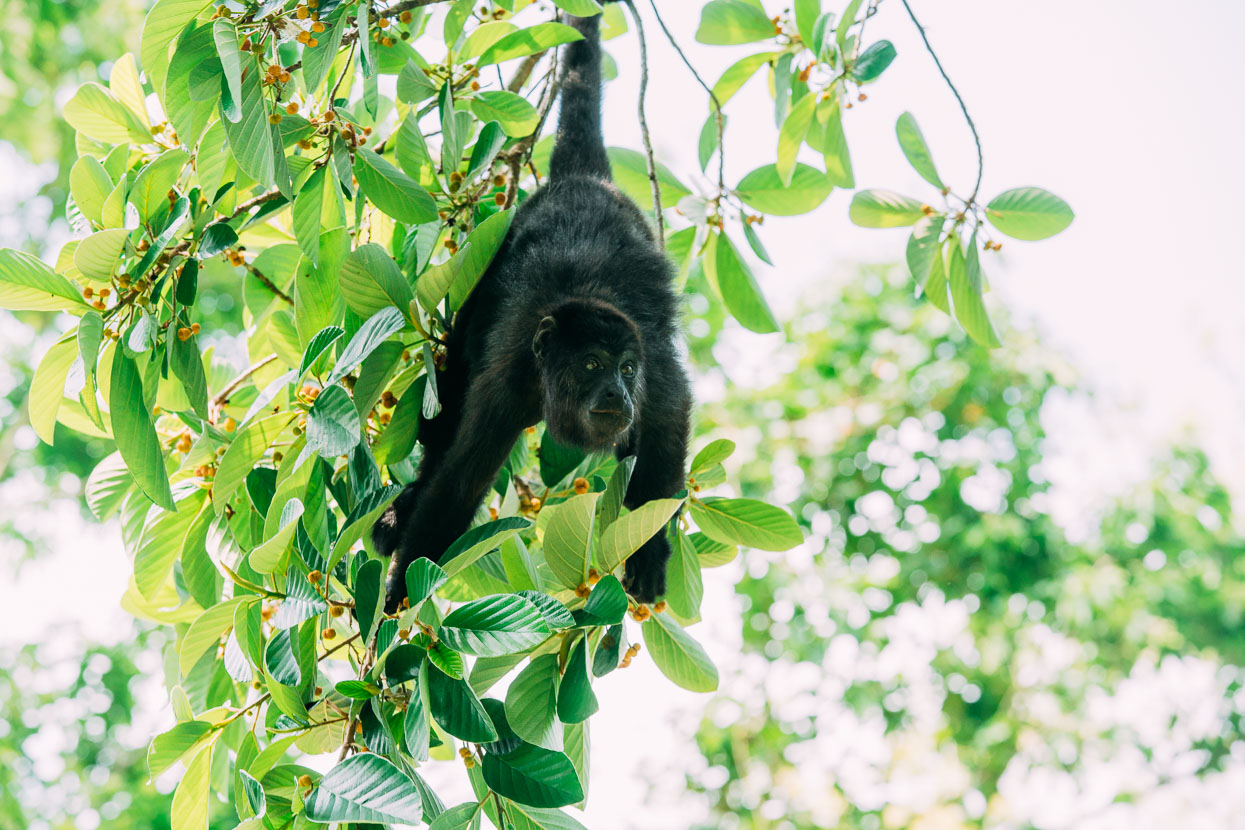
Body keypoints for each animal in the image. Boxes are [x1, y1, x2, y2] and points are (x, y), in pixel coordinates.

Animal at [373, 6, 697, 614]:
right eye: (592, 364)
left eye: (626, 369)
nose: (618, 394)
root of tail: (582, 181)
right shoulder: (510, 382)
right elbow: (459, 482)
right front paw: (398, 606)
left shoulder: (653, 362)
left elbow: (668, 422)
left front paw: (648, 552)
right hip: (491, 254)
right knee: (451, 390)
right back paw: (399, 511)